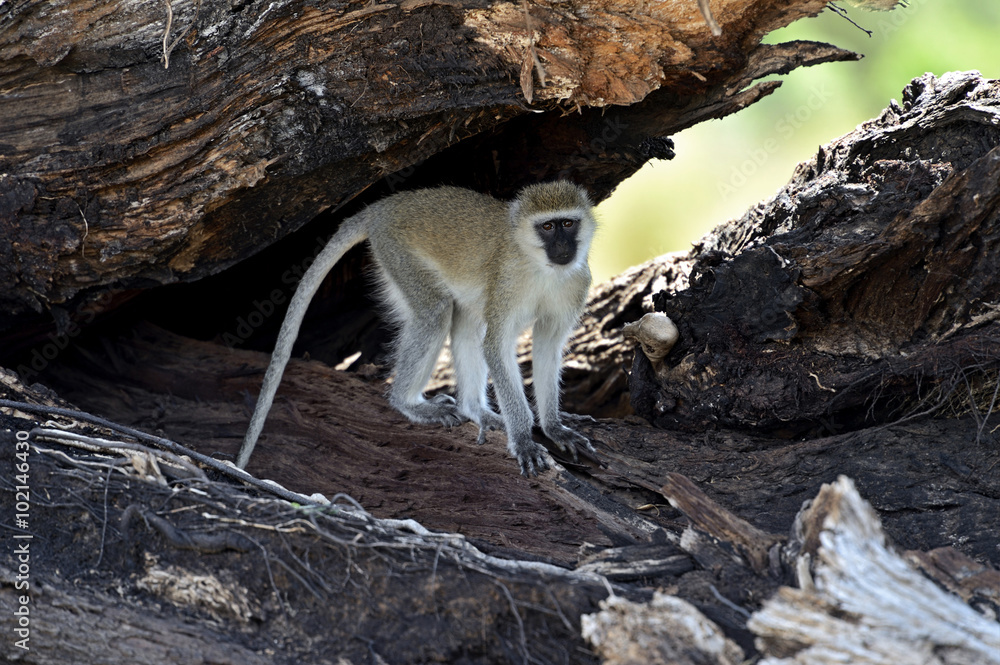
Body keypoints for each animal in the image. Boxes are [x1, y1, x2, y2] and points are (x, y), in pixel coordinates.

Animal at [237, 181, 596, 476]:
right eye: (547, 227)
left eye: (567, 224)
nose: (563, 247)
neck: (543, 268)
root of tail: (387, 205)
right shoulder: (508, 282)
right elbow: (496, 345)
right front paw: (522, 439)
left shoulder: (576, 283)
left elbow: (547, 345)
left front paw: (554, 427)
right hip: (397, 251)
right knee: (436, 313)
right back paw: (406, 403)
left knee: (465, 323)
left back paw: (474, 410)